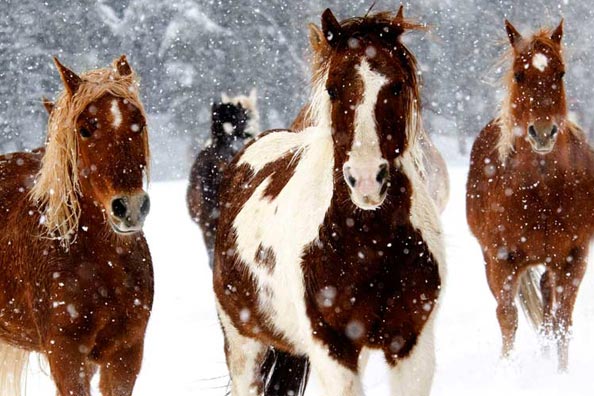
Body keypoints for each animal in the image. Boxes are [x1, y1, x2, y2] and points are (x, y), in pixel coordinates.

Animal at [215, 6, 442, 396]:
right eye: (334, 89)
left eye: (396, 85)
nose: (366, 179)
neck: (369, 246)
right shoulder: (331, 347)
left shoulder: (411, 345)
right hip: (243, 344)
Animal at [464, 18, 588, 372]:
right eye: (519, 74)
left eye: (560, 73)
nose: (543, 133)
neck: (542, 190)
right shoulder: (501, 259)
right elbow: (507, 317)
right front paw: (506, 371)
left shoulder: (574, 258)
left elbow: (563, 320)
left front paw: (561, 373)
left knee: (549, 303)